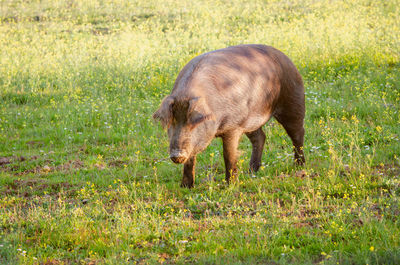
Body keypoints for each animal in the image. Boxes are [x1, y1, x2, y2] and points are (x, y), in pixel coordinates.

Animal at [155, 44, 304, 187]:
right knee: (260, 137)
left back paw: (299, 166)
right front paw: (185, 187)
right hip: (250, 121)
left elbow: (228, 155)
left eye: (194, 121)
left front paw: (230, 185)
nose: (176, 155)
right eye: (172, 122)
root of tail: (285, 57)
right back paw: (251, 171)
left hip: (293, 102)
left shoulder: (233, 126)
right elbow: (191, 158)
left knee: (298, 134)